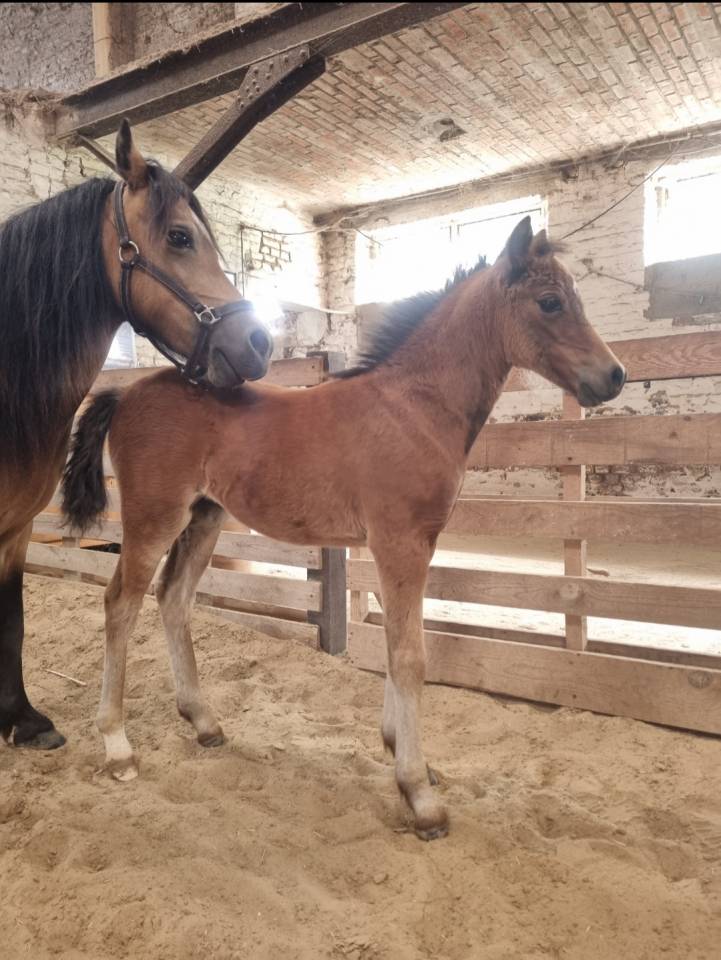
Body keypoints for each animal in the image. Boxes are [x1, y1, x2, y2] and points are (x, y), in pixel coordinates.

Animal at [62, 217, 626, 839]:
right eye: (550, 302)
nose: (615, 375)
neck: (414, 407)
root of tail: (126, 391)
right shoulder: (400, 542)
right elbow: (409, 655)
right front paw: (419, 794)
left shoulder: (409, 545)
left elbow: (396, 641)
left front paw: (403, 753)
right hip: (153, 517)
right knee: (121, 602)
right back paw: (118, 746)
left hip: (205, 517)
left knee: (173, 597)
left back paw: (204, 721)